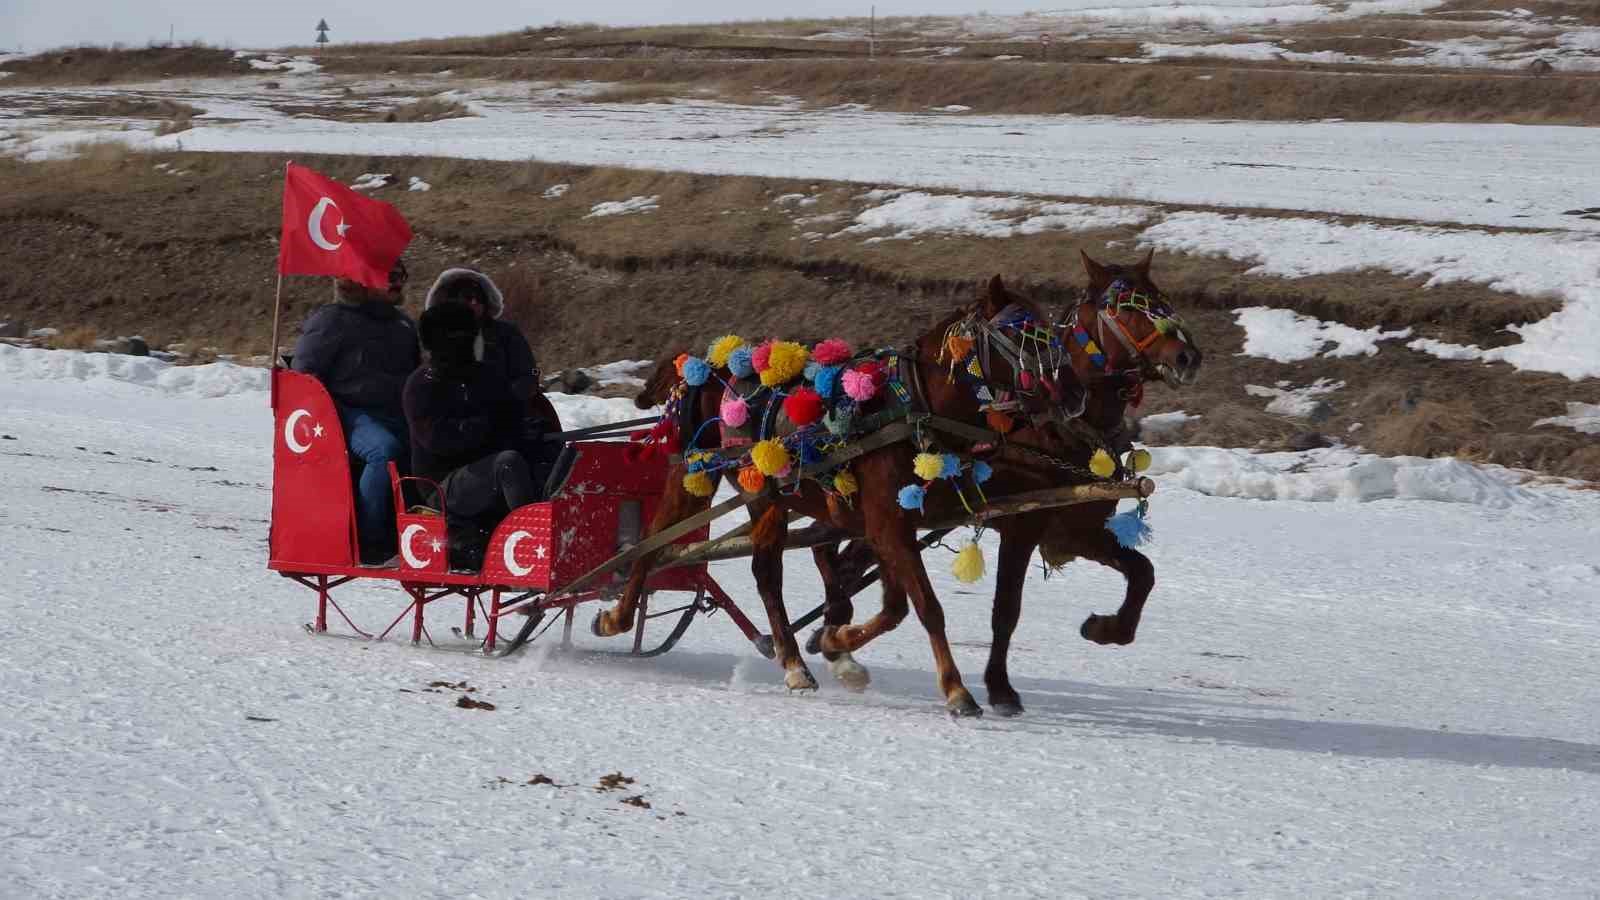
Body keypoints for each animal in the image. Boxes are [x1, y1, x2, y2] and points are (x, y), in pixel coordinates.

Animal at [595, 277, 1081, 711]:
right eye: (1022, 332)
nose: (1074, 392)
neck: (912, 405)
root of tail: (701, 362)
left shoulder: (890, 524)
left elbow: (894, 607)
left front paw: (837, 643)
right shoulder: (888, 524)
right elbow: (926, 606)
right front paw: (957, 690)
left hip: (769, 498)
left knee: (765, 574)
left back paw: (794, 662)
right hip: (695, 476)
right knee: (651, 544)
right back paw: (618, 617)